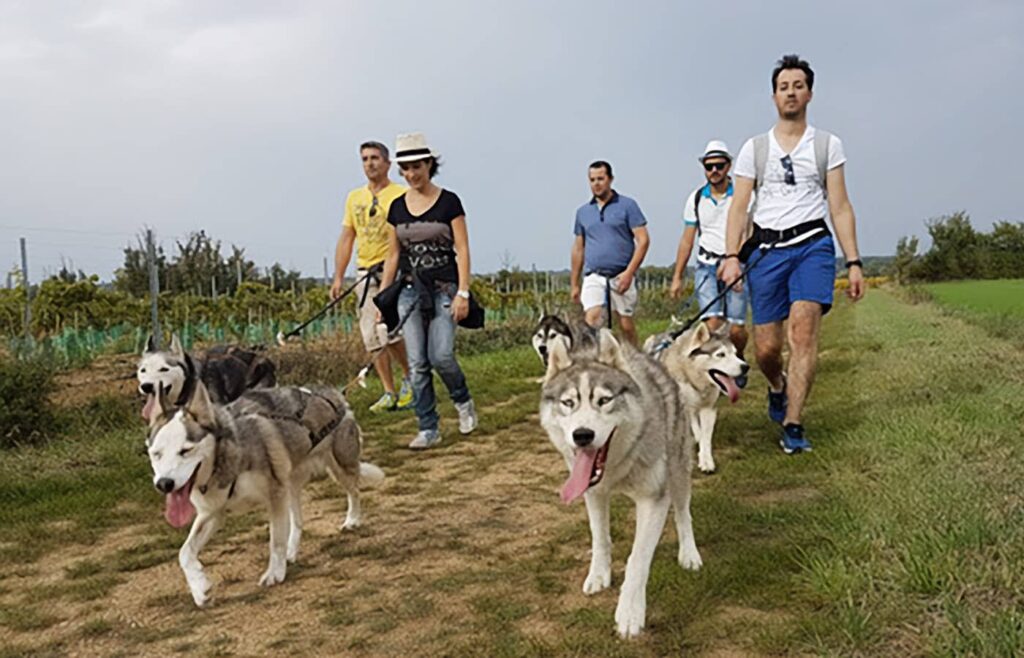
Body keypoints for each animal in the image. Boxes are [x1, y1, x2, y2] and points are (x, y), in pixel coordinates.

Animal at [146, 386, 382, 605]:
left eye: (186, 451)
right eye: (156, 454)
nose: (164, 484)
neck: (229, 453)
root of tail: (333, 392)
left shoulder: (275, 496)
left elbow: (275, 540)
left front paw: (275, 573)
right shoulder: (213, 513)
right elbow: (185, 552)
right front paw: (199, 588)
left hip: (340, 467)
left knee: (354, 491)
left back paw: (352, 520)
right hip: (291, 485)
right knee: (298, 521)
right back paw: (291, 552)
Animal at [540, 329, 700, 638]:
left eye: (604, 400)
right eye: (568, 403)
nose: (582, 435)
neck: (616, 467)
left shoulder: (653, 499)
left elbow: (637, 559)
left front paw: (629, 613)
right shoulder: (592, 494)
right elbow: (600, 538)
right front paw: (598, 574)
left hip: (678, 470)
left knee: (683, 513)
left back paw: (689, 553)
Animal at [651, 323, 749, 472]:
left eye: (735, 353)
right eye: (721, 354)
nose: (745, 367)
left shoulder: (708, 409)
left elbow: (705, 436)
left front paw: (706, 460)